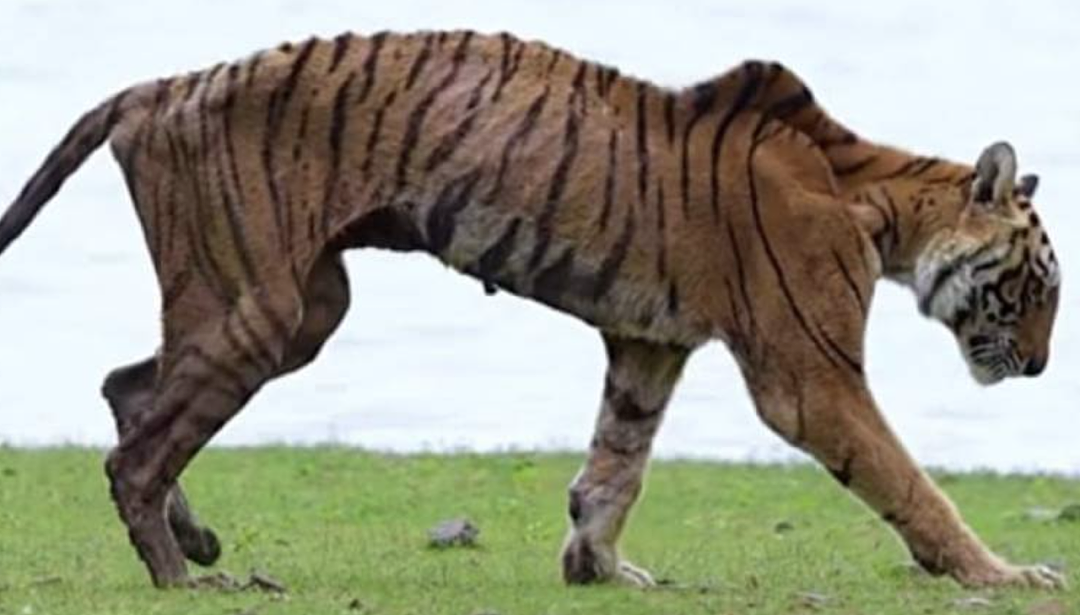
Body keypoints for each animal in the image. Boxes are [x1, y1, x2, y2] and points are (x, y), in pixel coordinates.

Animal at [0, 30, 1062, 590]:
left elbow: (616, 462)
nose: (1046, 366)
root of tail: (156, 84)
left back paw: (196, 543)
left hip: (295, 307)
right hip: (259, 308)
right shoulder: (809, 375)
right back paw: (183, 577)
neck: (884, 206)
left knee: (127, 386)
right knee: (136, 447)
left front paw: (600, 569)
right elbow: (909, 481)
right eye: (1038, 285)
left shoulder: (648, 344)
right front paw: (1003, 577)